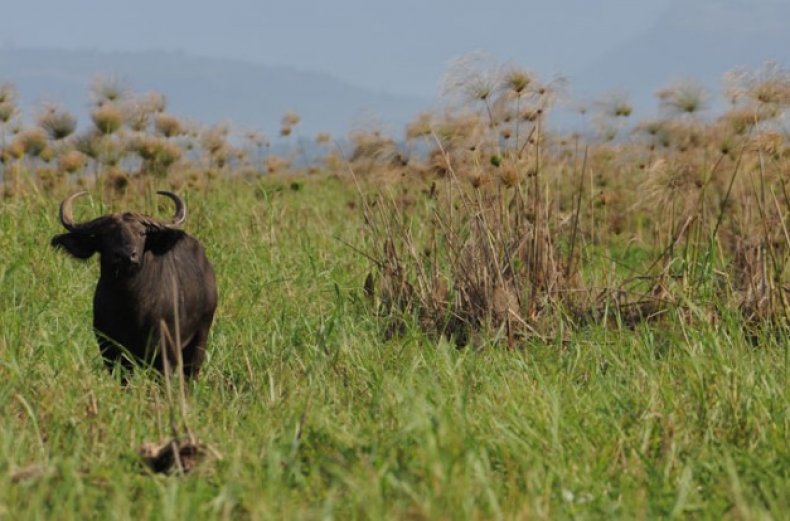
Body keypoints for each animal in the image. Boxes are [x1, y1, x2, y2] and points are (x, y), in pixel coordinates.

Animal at [51, 191, 218, 378]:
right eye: (106, 234)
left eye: (141, 233)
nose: (125, 255)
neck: (128, 305)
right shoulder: (110, 350)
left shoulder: (163, 354)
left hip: (200, 337)